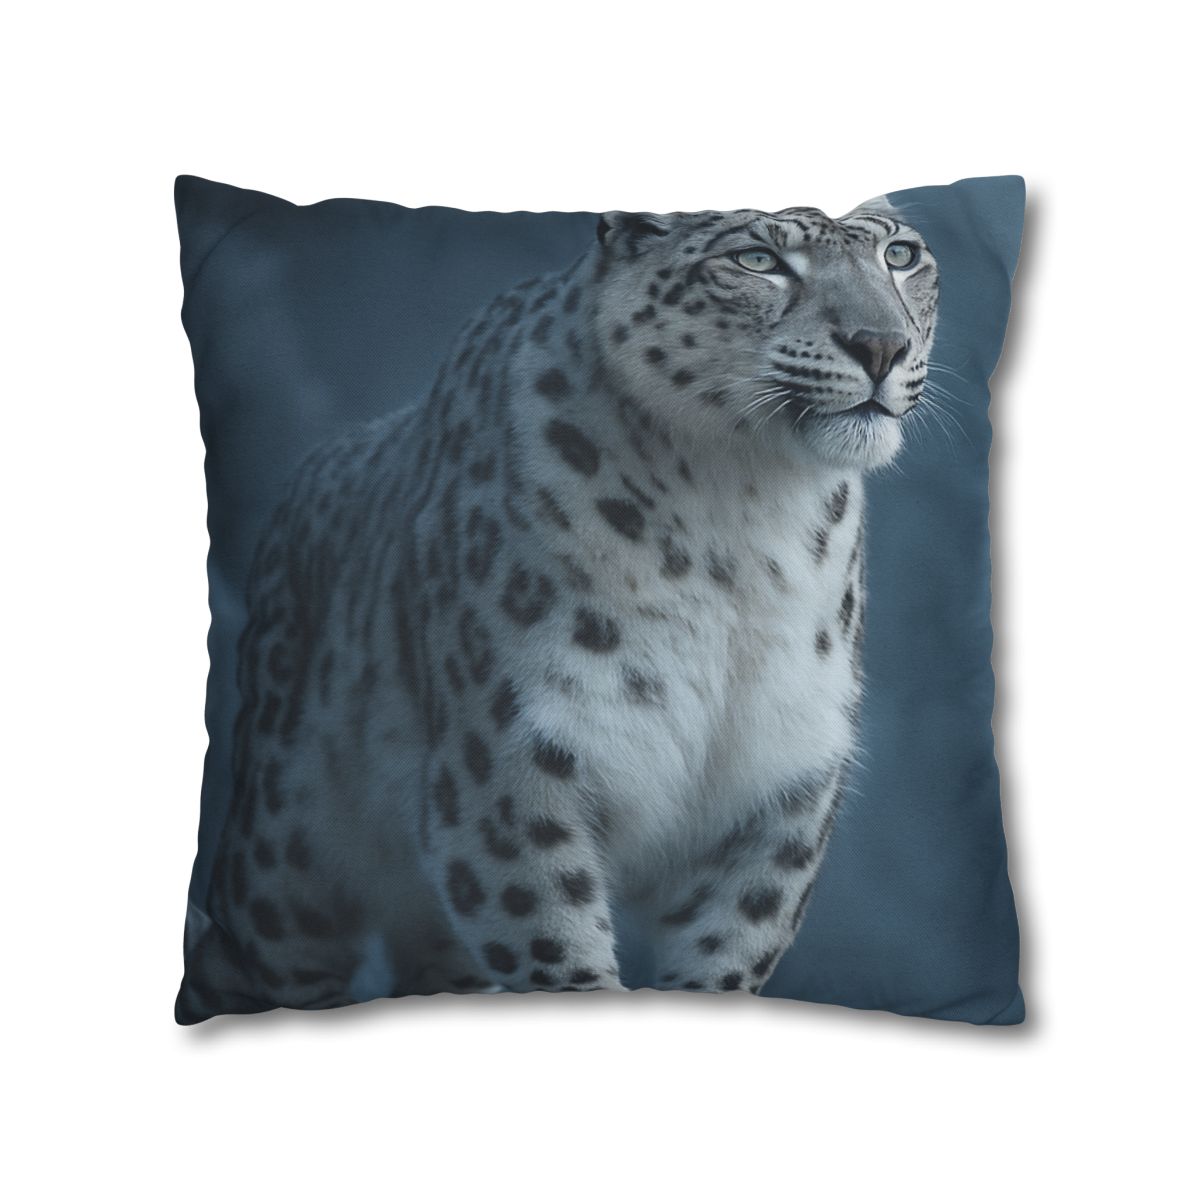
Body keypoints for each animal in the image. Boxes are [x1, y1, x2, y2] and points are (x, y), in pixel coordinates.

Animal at [177, 202, 939, 1021]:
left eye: (900, 256)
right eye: (757, 260)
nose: (882, 345)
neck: (746, 521)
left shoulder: (777, 792)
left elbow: (726, 956)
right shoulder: (509, 773)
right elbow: (557, 947)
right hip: (285, 863)